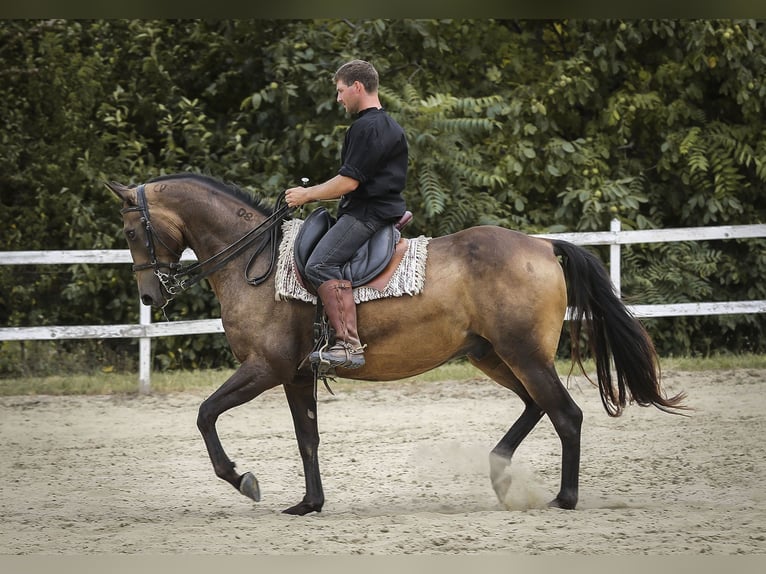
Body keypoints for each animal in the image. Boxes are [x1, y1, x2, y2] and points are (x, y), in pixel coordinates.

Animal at [105, 172, 688, 516]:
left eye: (132, 232)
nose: (150, 295)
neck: (257, 263)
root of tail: (543, 246)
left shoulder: (265, 367)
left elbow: (205, 414)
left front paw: (242, 479)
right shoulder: (296, 374)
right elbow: (307, 439)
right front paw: (309, 503)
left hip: (522, 354)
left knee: (565, 414)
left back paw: (563, 499)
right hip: (493, 355)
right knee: (534, 406)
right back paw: (499, 472)